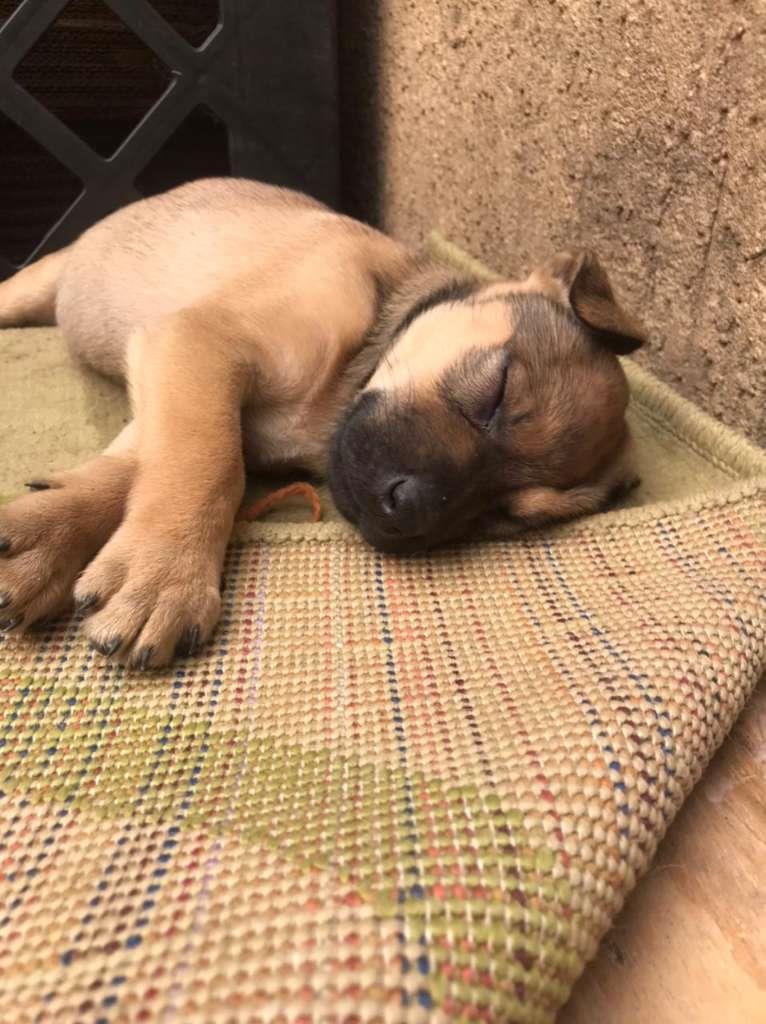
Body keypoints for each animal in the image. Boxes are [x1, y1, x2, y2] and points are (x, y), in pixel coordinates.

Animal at [0, 177, 646, 668]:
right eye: (496, 393)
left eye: (506, 516)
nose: (409, 513)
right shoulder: (200, 342)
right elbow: (204, 463)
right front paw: (165, 577)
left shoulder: (194, 383)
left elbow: (148, 465)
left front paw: (45, 537)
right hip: (34, 287)